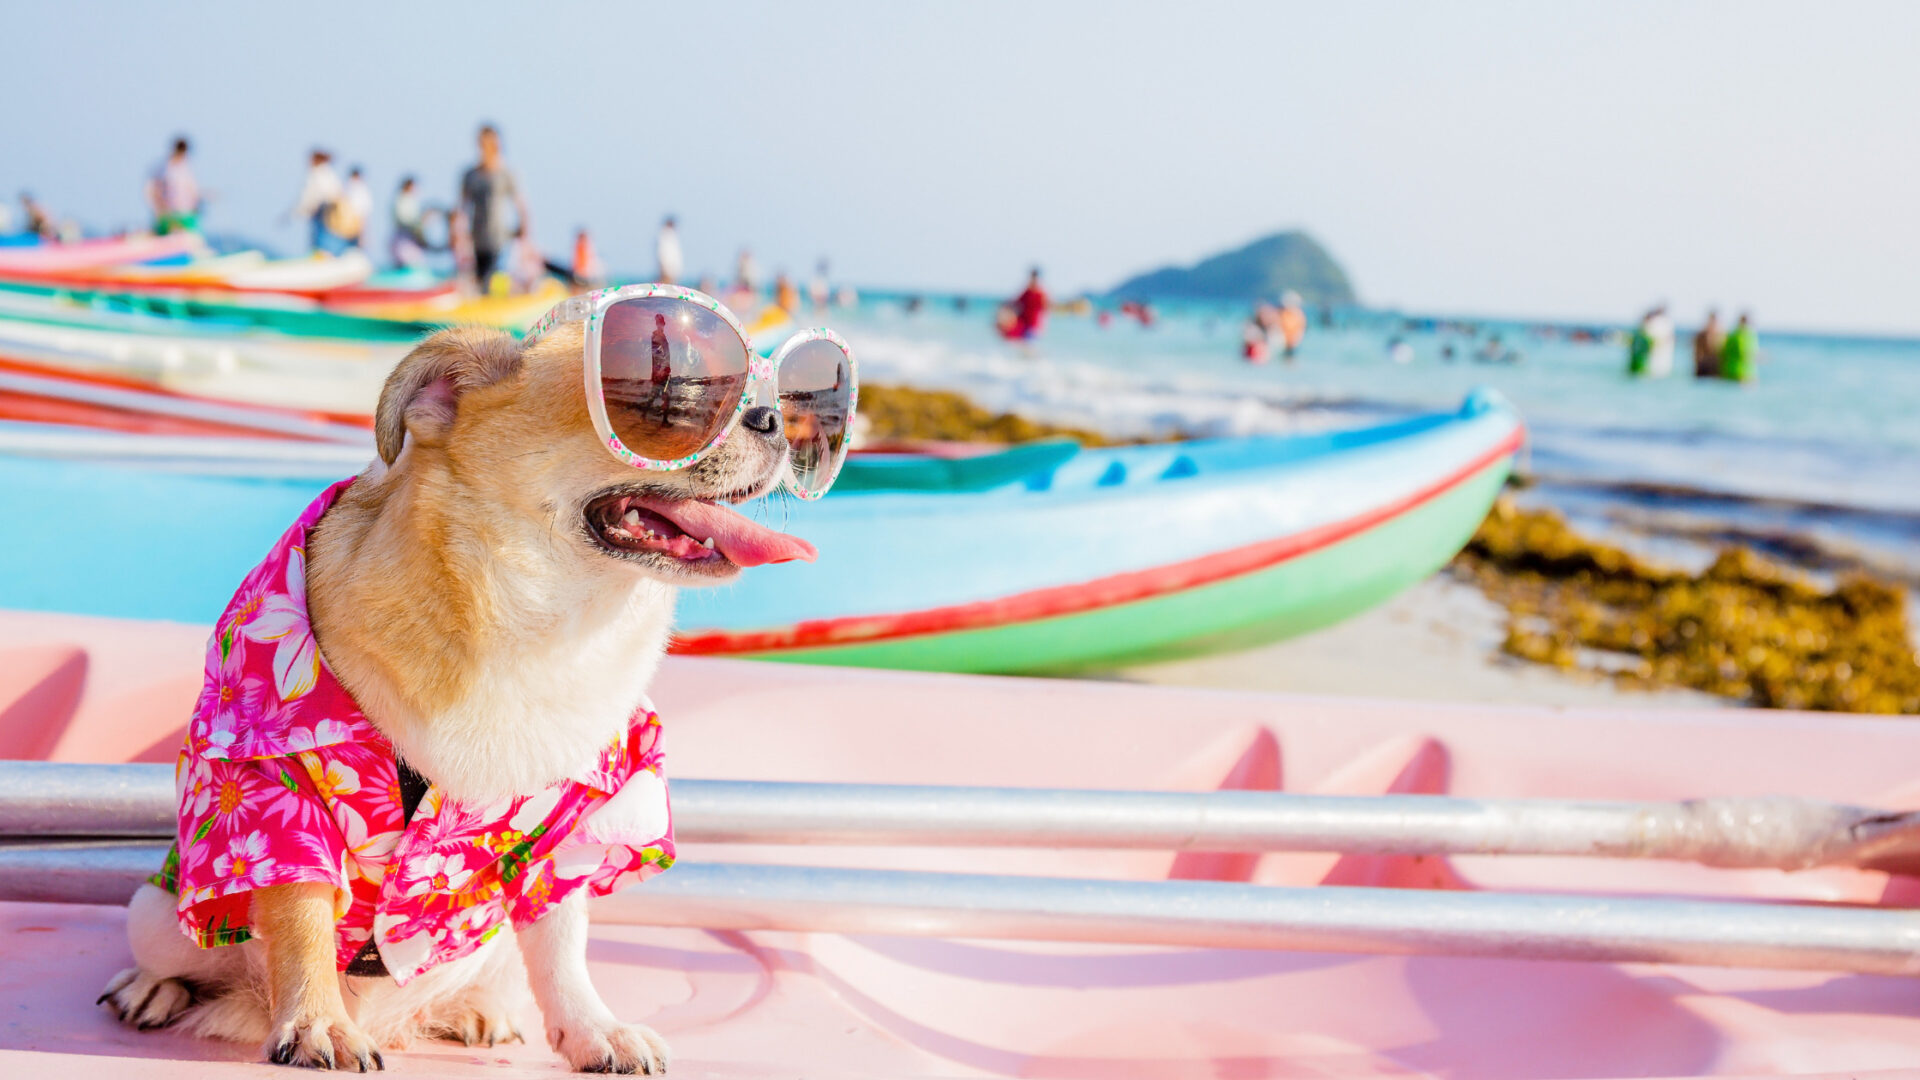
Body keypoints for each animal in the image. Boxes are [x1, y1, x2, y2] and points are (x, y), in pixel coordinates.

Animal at [99, 320, 817, 1068]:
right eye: (670, 395)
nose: (776, 416)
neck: (541, 632)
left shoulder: (574, 834)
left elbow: (563, 946)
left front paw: (594, 1028)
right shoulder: (276, 794)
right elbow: (301, 919)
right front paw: (319, 1022)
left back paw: (474, 1010)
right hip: (159, 917)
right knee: (185, 956)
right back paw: (154, 988)